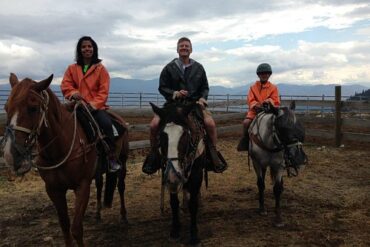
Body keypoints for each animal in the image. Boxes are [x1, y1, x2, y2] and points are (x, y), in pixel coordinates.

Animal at [2, 74, 129, 247]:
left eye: (33, 108)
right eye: (6, 107)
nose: (10, 154)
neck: (60, 149)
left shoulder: (82, 186)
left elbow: (76, 229)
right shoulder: (53, 190)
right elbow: (65, 227)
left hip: (123, 160)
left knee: (121, 186)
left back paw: (124, 216)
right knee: (100, 185)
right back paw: (97, 215)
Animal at [151, 101, 208, 245]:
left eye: (185, 135)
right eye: (161, 136)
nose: (174, 176)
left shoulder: (196, 175)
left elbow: (193, 204)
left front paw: (194, 235)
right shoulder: (169, 179)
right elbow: (173, 202)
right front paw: (175, 230)